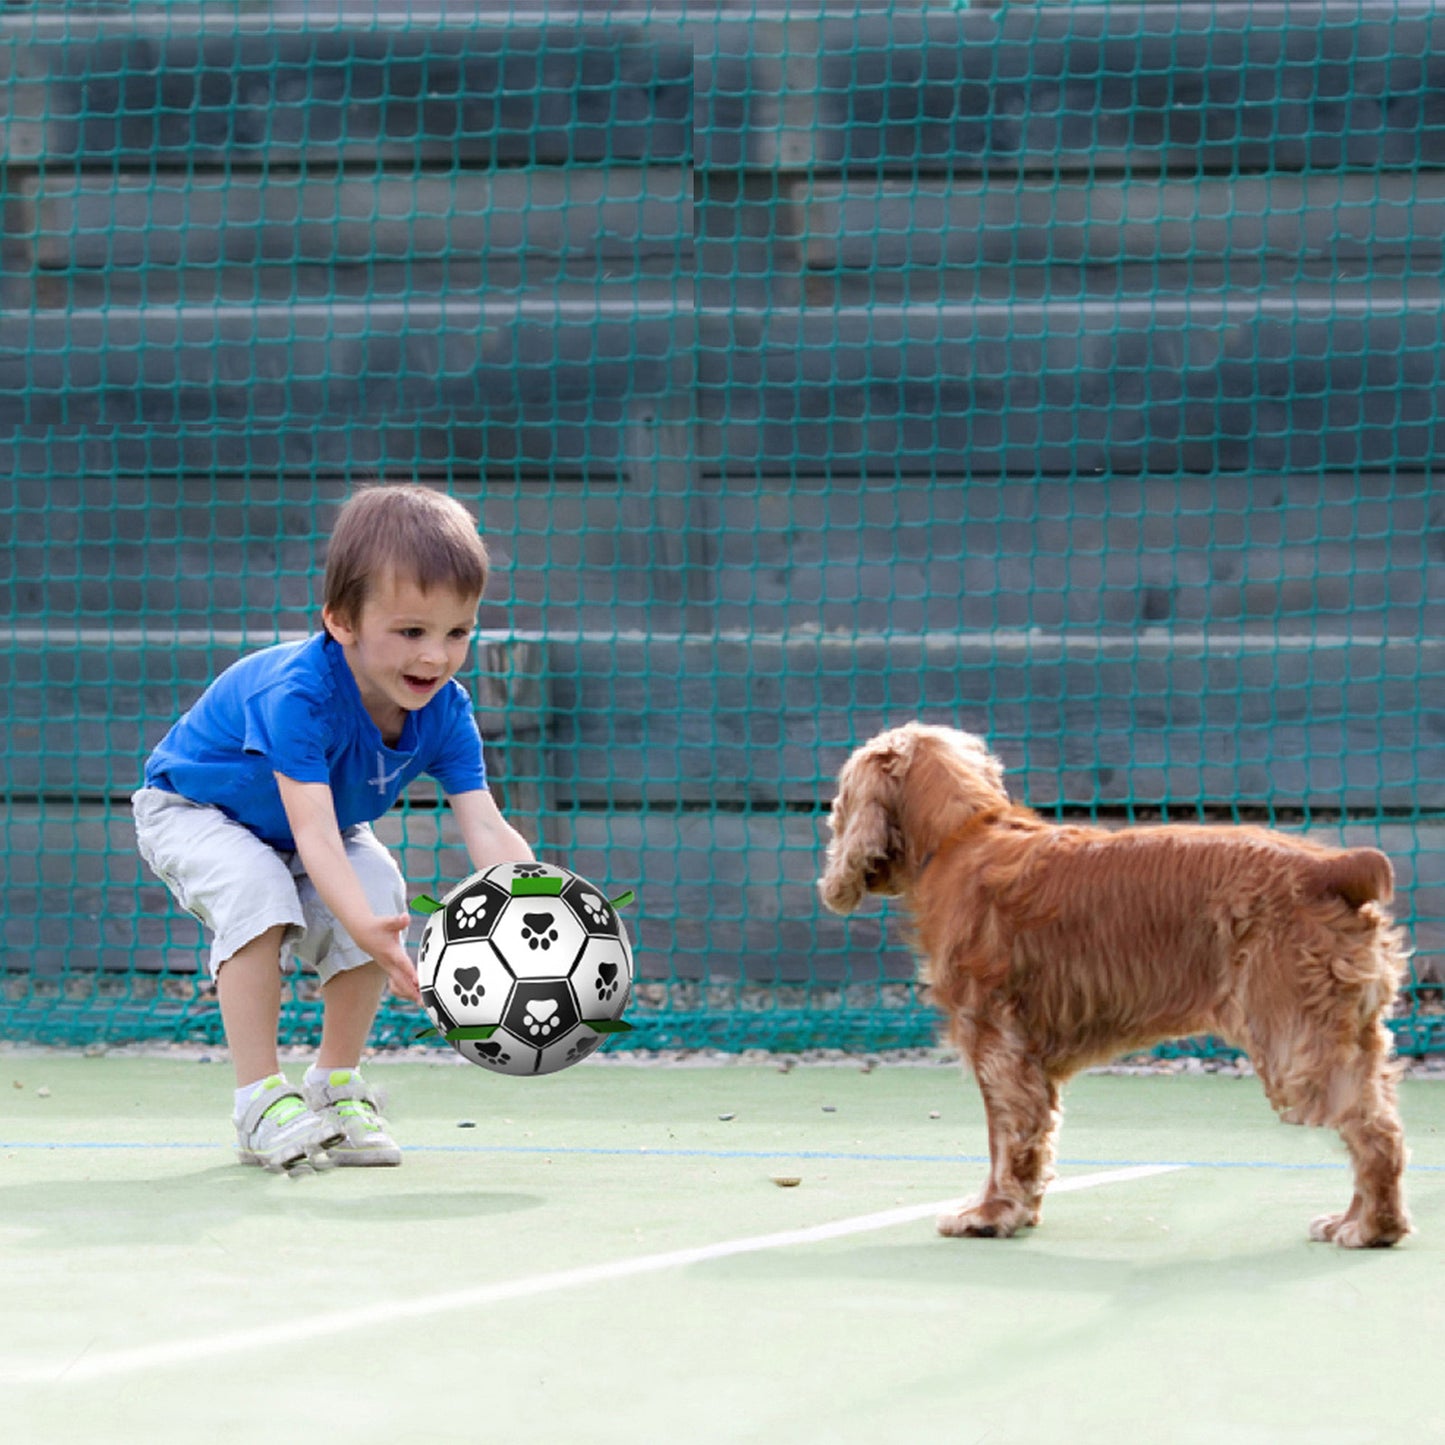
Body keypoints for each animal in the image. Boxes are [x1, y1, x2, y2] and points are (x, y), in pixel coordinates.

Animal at [826, 722, 1410, 1242]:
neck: (962, 836)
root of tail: (1332, 868)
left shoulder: (996, 1045)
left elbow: (1004, 1140)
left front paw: (989, 1215)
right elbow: (1031, 1142)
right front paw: (1020, 1212)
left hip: (1295, 1039)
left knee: (1371, 1130)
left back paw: (1370, 1229)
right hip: (1349, 1032)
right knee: (1381, 1118)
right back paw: (1360, 1220)